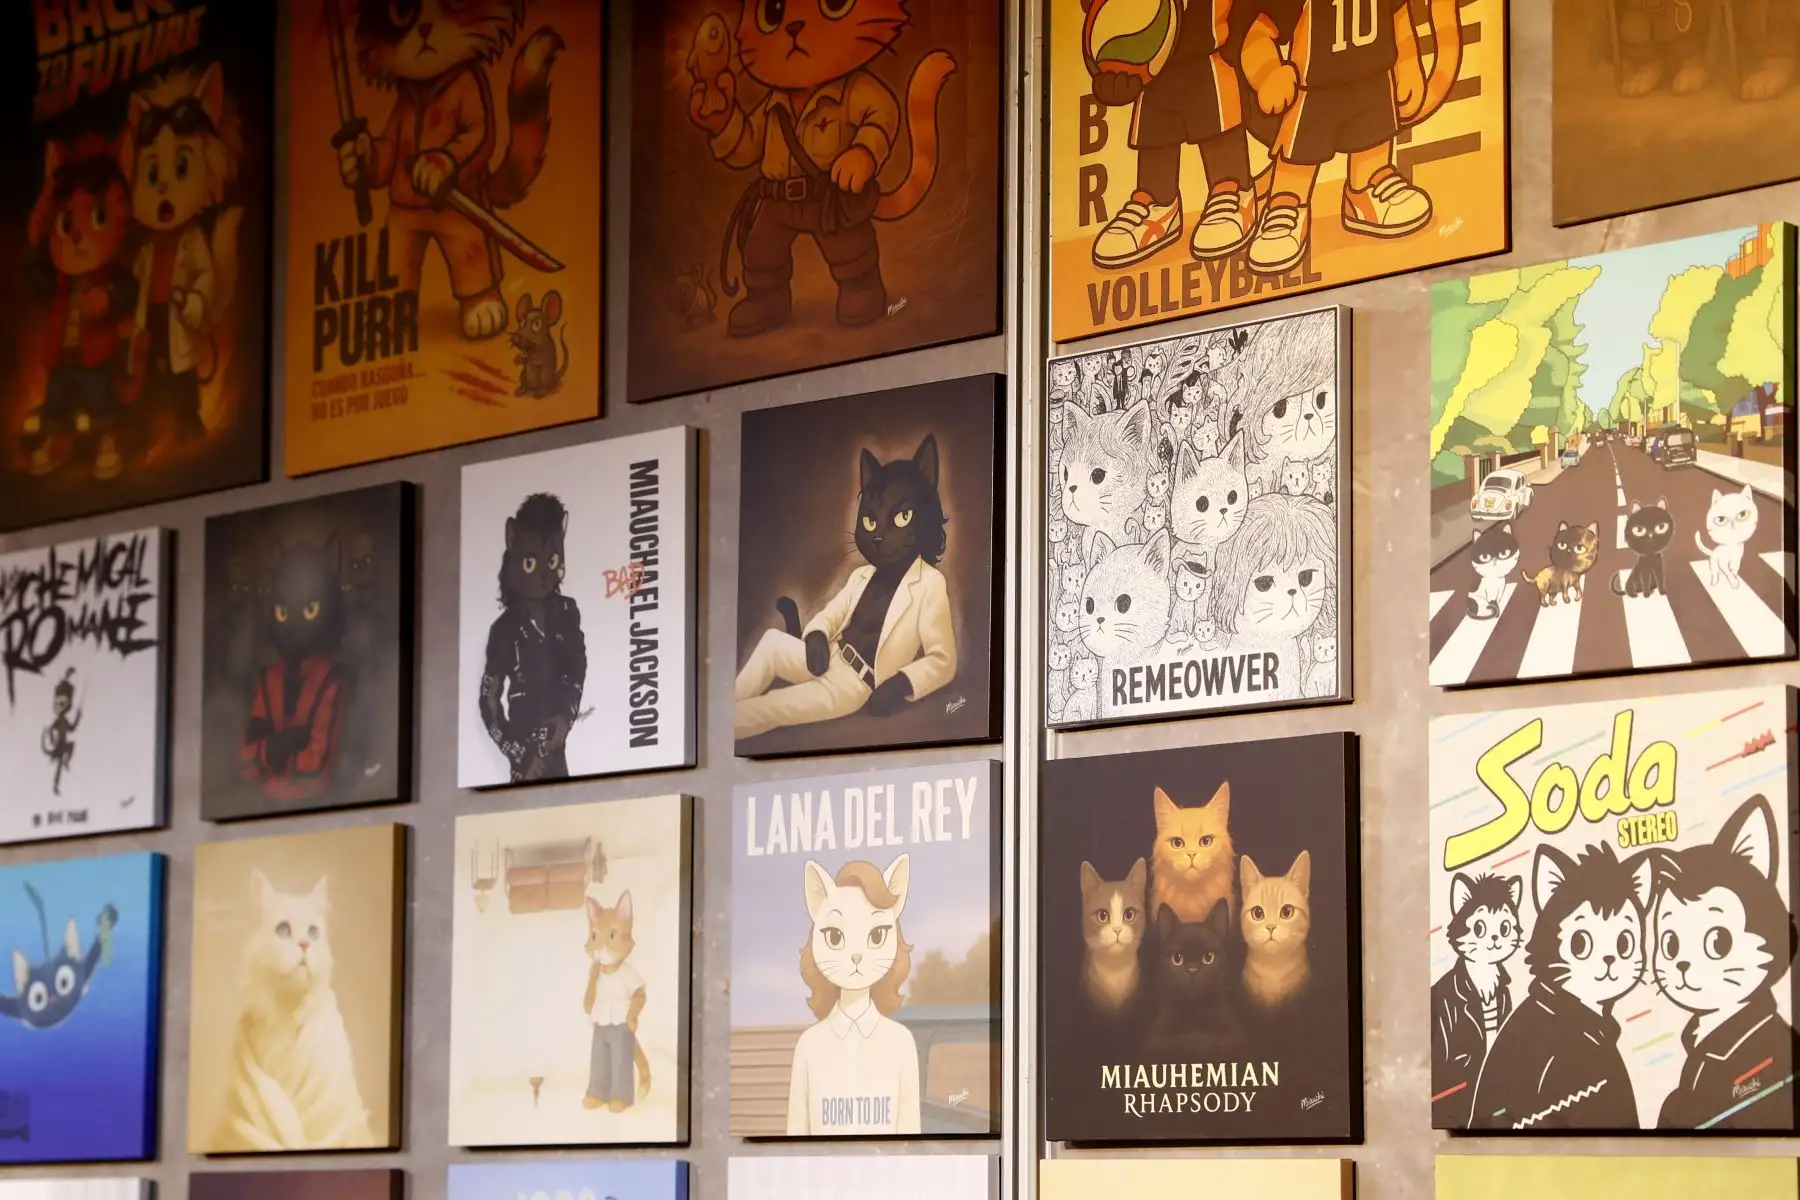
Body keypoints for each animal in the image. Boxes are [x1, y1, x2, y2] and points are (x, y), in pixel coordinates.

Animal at [582, 892, 652, 1111]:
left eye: (612, 935)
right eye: (594, 936)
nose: (598, 951)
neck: (610, 970)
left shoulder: (634, 981)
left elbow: (639, 997)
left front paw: (631, 1021)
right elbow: (588, 1003)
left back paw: (618, 1103)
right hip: (600, 1039)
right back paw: (594, 1099)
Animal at [1148, 901, 1245, 1056]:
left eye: (1208, 957)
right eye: (1177, 958)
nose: (1192, 970)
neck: (1195, 1011)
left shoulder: (1235, 1038)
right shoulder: (1156, 1041)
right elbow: (1179, 1043)